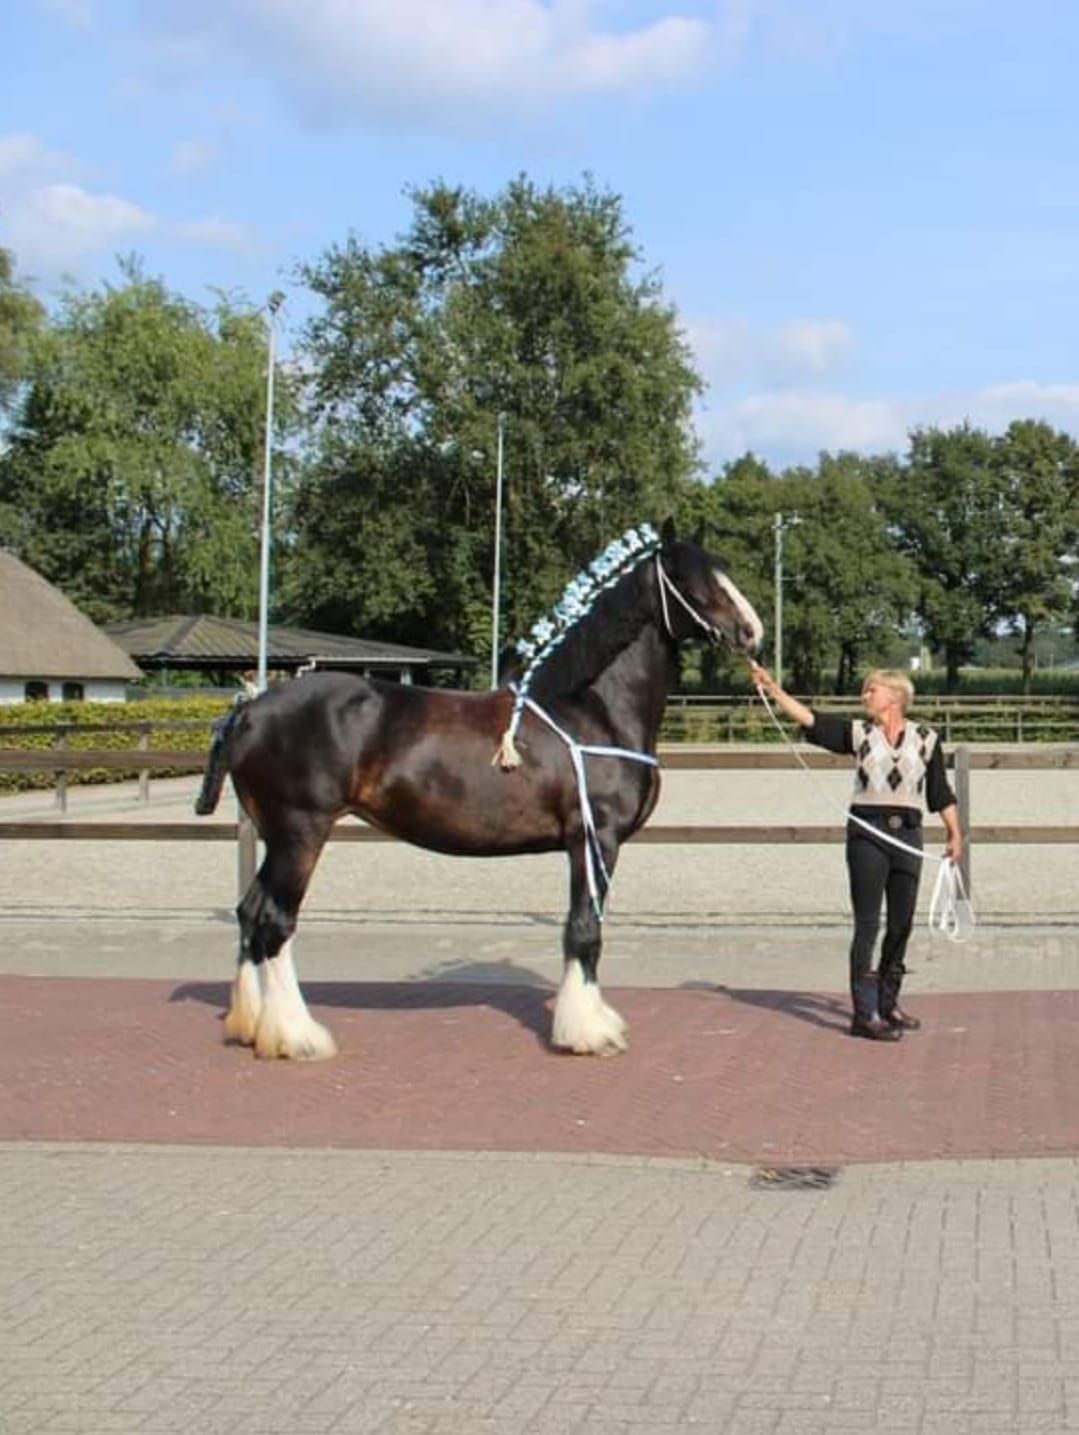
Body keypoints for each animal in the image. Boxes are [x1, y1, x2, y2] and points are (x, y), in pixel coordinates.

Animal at [195, 523, 763, 1061]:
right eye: (693, 581)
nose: (751, 632)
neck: (592, 710)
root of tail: (249, 710)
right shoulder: (593, 840)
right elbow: (584, 929)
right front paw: (587, 1032)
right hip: (300, 835)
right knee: (274, 922)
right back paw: (298, 1037)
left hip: (279, 839)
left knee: (250, 914)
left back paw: (251, 1024)